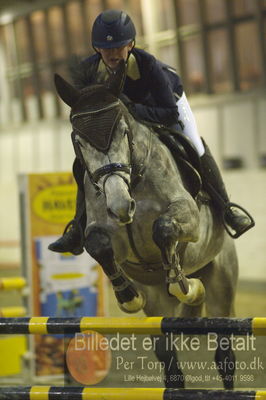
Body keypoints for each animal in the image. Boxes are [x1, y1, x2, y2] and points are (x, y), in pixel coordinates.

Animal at [54, 61, 239, 390]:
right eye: (78, 141)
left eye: (123, 132)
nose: (119, 206)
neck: (134, 181)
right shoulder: (105, 235)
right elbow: (98, 245)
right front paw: (128, 297)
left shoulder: (188, 217)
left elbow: (163, 228)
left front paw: (181, 282)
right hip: (157, 306)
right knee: (169, 361)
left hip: (222, 281)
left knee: (224, 354)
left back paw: (194, 285)